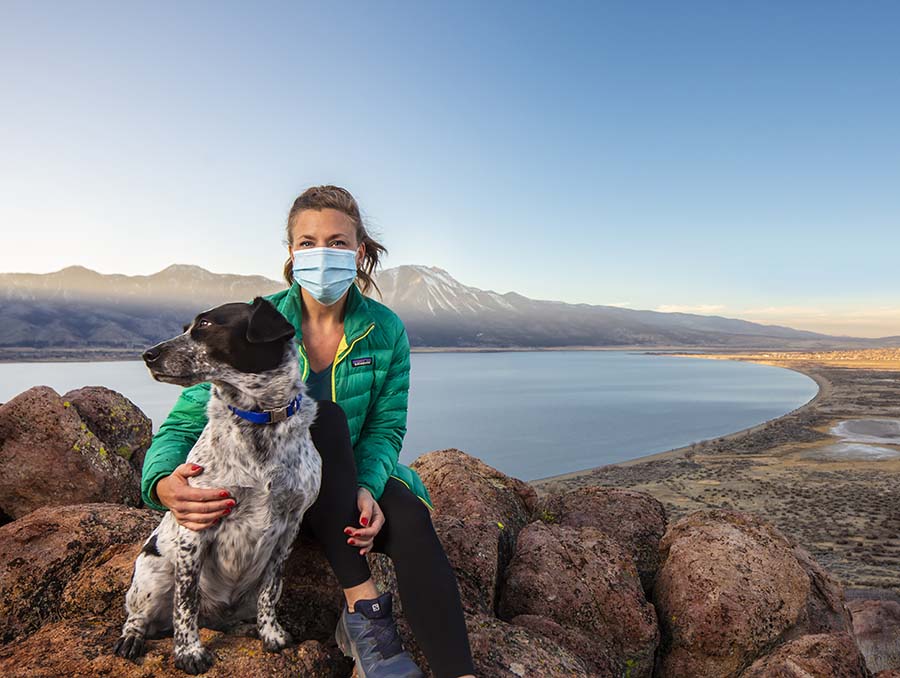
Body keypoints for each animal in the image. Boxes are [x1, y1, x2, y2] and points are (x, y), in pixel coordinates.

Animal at [114, 296, 322, 676]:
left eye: (206, 325)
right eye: (186, 327)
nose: (148, 354)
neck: (259, 421)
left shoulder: (289, 527)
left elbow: (271, 591)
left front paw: (271, 633)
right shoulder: (196, 528)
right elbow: (185, 603)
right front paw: (189, 652)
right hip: (152, 572)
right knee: (140, 616)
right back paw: (133, 638)